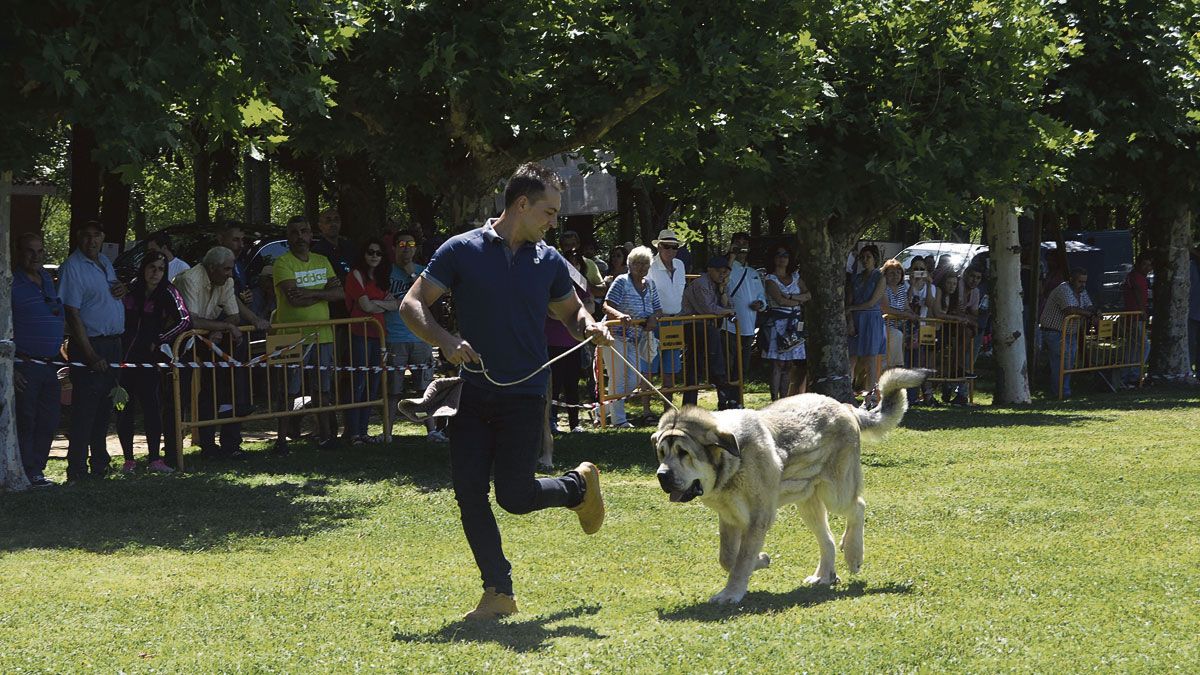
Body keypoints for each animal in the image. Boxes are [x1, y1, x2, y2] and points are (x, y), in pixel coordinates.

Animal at [657, 365, 926, 600]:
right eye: (661, 453)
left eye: (684, 453)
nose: (662, 475)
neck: (732, 462)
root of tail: (845, 406)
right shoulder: (730, 518)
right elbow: (728, 558)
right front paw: (761, 560)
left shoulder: (758, 518)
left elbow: (741, 559)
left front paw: (731, 593)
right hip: (807, 503)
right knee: (827, 539)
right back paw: (824, 576)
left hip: (836, 492)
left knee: (857, 507)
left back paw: (853, 553)